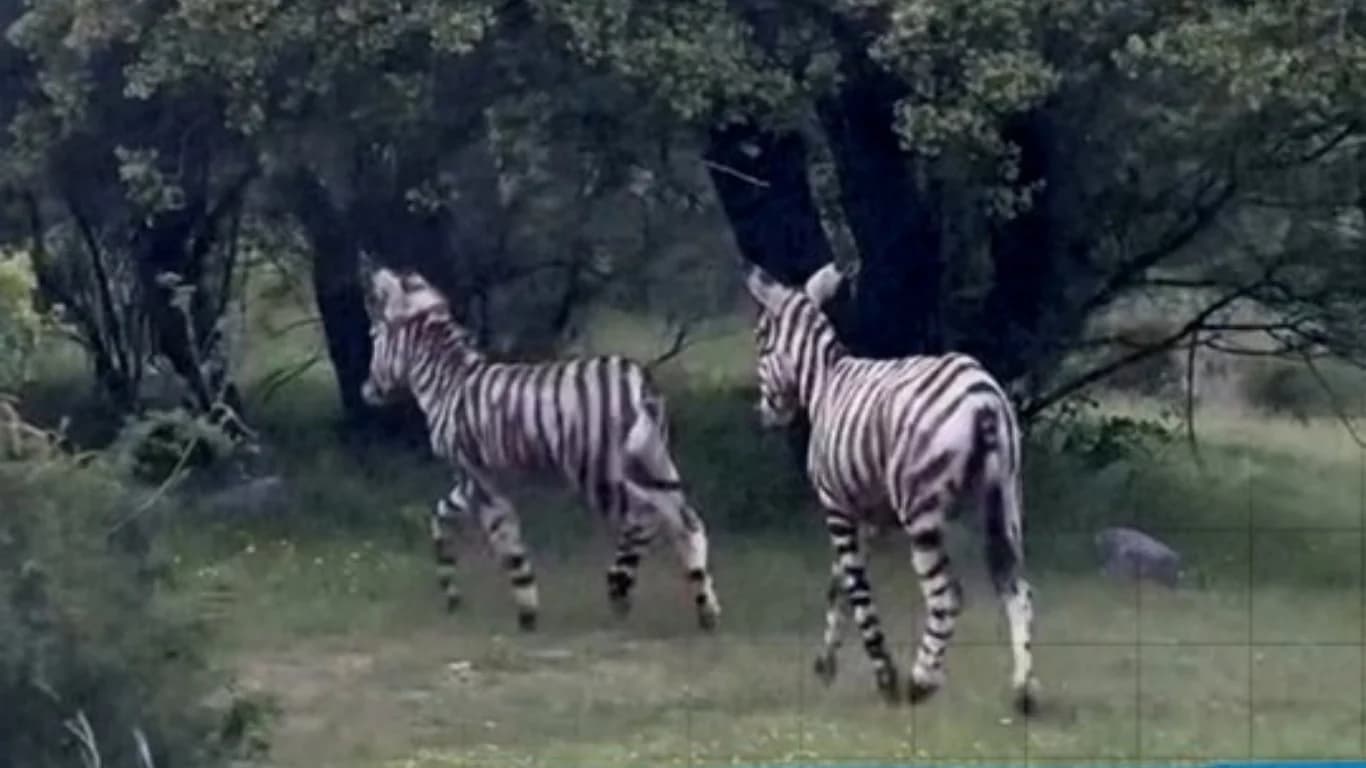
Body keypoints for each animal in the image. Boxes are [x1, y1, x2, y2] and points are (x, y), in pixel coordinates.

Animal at [360, 265, 721, 633]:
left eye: (374, 337)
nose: (367, 392)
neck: (448, 384)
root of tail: (640, 381)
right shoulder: (473, 480)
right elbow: (442, 521)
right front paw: (452, 594)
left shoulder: (478, 477)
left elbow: (506, 542)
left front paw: (526, 610)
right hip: (654, 462)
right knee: (687, 523)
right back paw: (702, 606)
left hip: (598, 471)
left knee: (646, 516)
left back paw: (621, 587)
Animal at [742, 261, 1038, 713]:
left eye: (761, 340)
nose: (766, 415)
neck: (824, 381)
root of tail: (983, 400)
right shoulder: (870, 515)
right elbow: (838, 583)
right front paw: (826, 662)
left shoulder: (836, 506)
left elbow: (858, 589)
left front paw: (885, 675)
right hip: (1004, 501)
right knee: (1017, 589)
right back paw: (1023, 689)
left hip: (922, 512)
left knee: (946, 596)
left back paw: (921, 681)